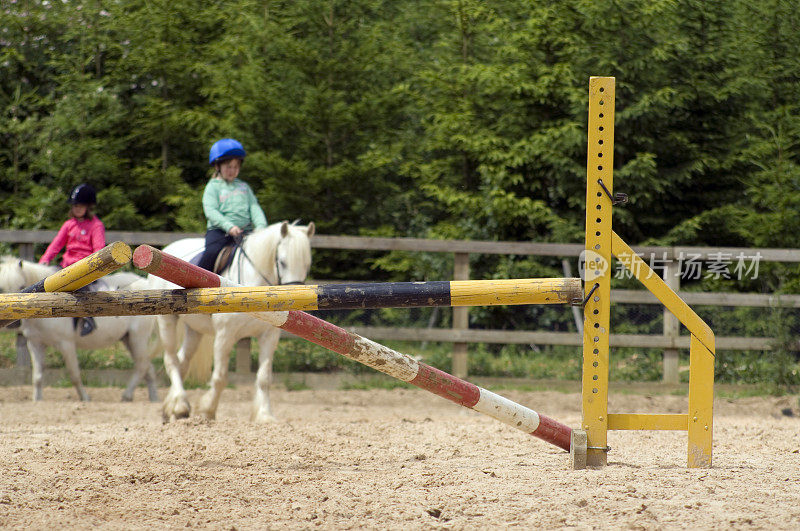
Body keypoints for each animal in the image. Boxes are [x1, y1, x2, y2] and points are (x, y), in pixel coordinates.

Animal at [0, 258, 161, 404]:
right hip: (127, 339)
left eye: (21, 286)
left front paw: (85, 398)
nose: (13, 323)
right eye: (1, 288)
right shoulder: (35, 344)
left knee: (142, 365)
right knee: (148, 368)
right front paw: (37, 400)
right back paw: (153, 398)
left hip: (138, 338)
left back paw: (127, 395)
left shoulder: (66, 344)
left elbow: (74, 374)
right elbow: (37, 376)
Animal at [150, 220, 316, 424]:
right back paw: (180, 405)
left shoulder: (269, 336)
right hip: (167, 320)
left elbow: (264, 378)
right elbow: (220, 377)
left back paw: (171, 409)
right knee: (171, 360)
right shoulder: (225, 336)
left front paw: (265, 415)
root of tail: (169, 247)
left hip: (194, 329)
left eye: (307, 265)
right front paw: (207, 410)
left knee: (183, 362)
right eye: (282, 262)